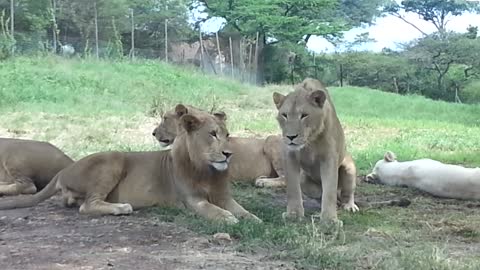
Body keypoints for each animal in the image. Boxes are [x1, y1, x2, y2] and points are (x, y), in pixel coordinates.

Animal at [0, 104, 262, 225]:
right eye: (212, 134)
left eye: (227, 135)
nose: (229, 154)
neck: (206, 170)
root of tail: (64, 170)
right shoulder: (192, 200)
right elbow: (213, 210)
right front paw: (227, 218)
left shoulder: (225, 196)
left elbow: (243, 211)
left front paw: (254, 219)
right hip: (113, 159)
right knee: (88, 205)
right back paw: (121, 208)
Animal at [272, 77, 358, 224]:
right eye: (284, 115)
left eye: (304, 115)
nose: (290, 137)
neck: (310, 141)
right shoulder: (290, 156)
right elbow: (293, 188)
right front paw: (294, 214)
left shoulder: (329, 158)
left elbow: (329, 190)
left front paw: (330, 220)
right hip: (304, 179)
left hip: (349, 167)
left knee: (347, 192)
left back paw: (349, 205)